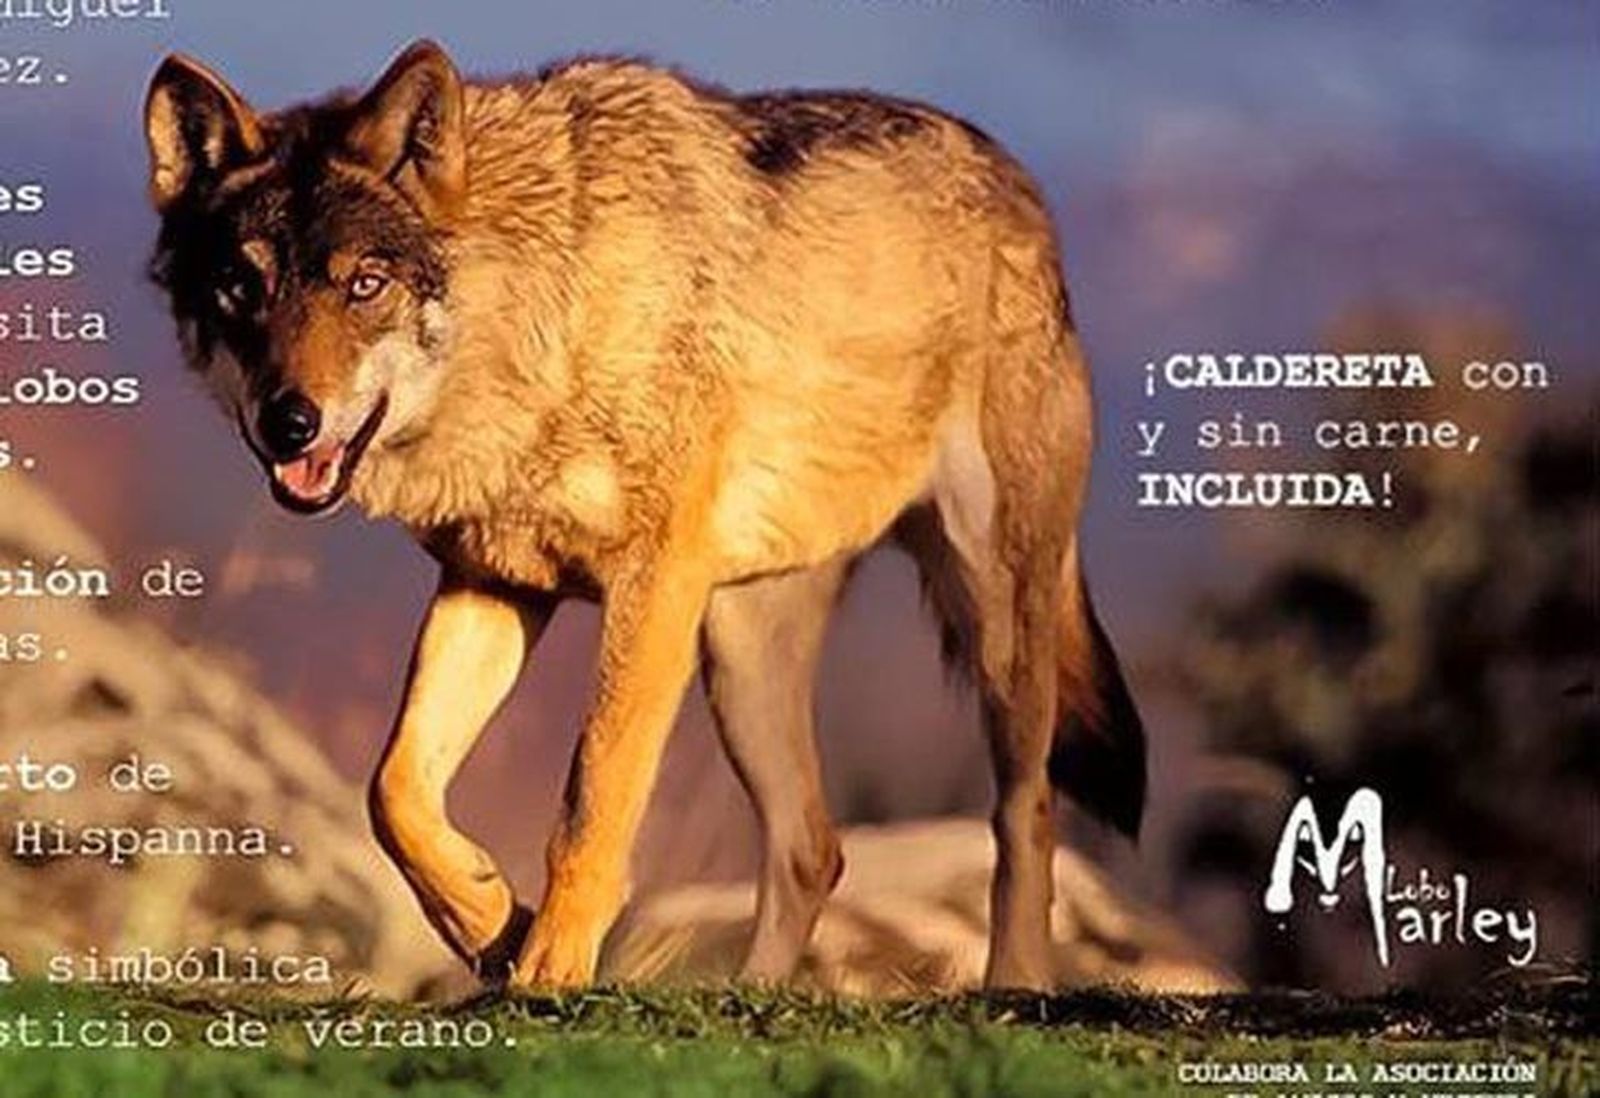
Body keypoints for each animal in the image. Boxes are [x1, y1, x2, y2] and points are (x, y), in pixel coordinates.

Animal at [143, 40, 1145, 990]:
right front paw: (490, 921)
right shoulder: (493, 582)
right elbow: (394, 790)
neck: (545, 326)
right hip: (740, 662)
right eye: (239, 286)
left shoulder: (650, 587)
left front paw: (549, 969)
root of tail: (1019, 183)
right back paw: (752, 998)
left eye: (363, 285)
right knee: (812, 847)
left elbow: (593, 795)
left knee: (1026, 814)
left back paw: (1013, 986)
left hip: (994, 626)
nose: (288, 422)